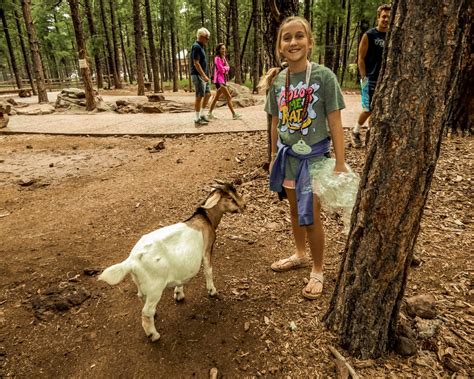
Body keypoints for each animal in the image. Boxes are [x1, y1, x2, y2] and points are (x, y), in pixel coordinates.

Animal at [96, 183, 244, 342]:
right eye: (230, 197)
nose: (244, 205)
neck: (206, 219)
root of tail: (132, 260)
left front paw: (179, 294)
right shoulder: (207, 250)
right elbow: (208, 271)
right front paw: (213, 291)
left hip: (142, 284)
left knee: (142, 298)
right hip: (155, 287)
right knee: (146, 312)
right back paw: (153, 334)